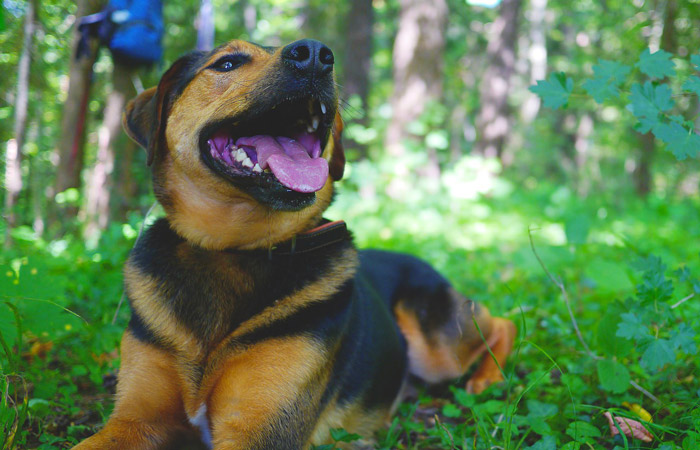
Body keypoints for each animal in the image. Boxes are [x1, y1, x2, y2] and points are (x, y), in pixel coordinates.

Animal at [74, 39, 516, 450]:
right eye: (227, 63)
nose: (317, 54)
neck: (235, 247)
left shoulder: (263, 428)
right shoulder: (134, 419)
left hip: (438, 344)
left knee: (502, 324)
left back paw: (487, 379)